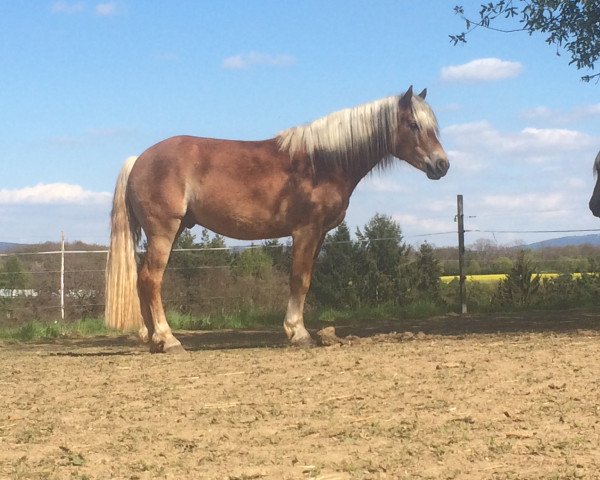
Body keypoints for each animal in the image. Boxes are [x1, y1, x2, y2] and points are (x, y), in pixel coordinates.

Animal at [104, 86, 450, 352]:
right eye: (413, 124)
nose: (442, 165)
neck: (321, 163)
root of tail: (139, 159)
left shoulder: (320, 234)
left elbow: (306, 279)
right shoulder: (305, 231)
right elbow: (299, 279)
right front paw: (298, 333)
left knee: (143, 279)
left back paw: (154, 340)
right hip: (164, 231)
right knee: (151, 279)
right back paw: (169, 339)